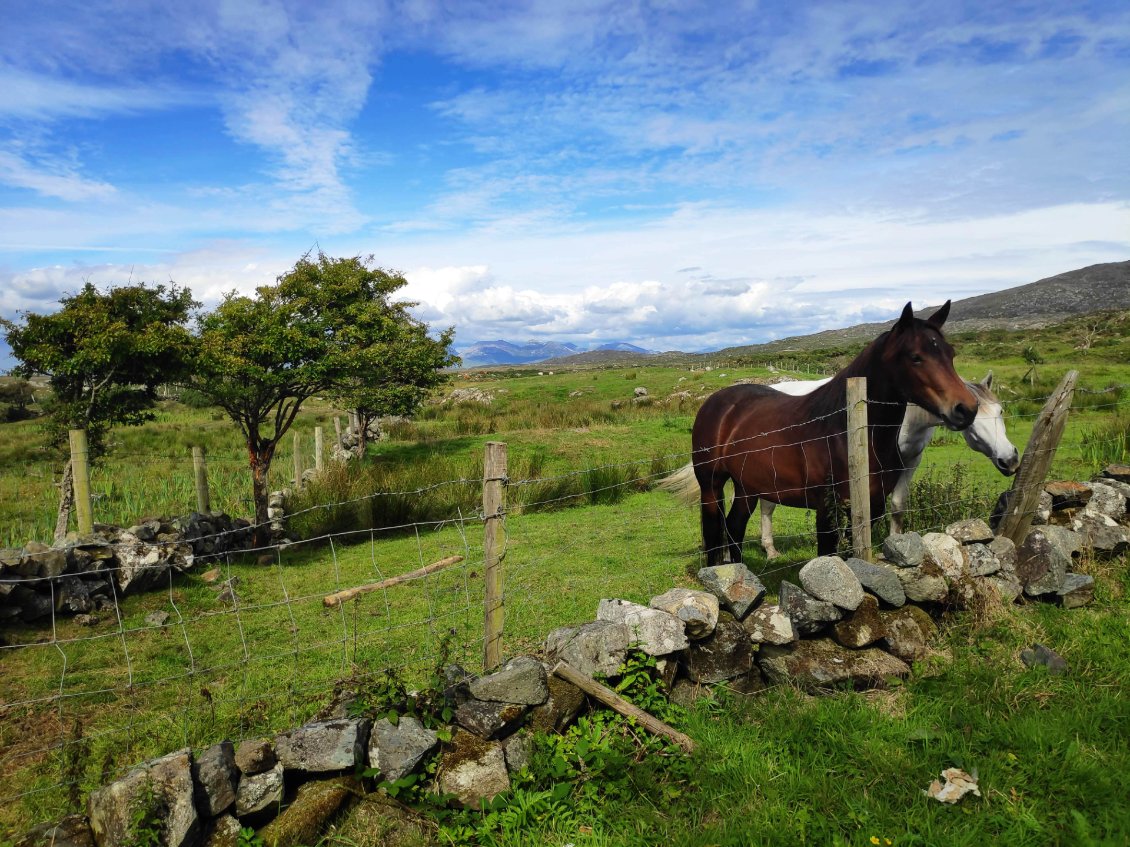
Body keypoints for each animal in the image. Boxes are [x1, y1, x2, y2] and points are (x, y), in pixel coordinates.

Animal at [682, 302, 976, 566]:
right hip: (712, 485)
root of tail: (715, 402)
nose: (966, 408)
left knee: (735, 526)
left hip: (747, 487)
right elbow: (827, 554)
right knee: (715, 531)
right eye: (915, 356)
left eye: (950, 354)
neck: (847, 433)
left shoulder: (870, 507)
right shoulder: (827, 509)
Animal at [754, 370, 1021, 557]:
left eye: (999, 411)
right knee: (767, 507)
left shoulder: (911, 460)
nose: (1010, 459)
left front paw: (895, 545)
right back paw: (770, 550)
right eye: (972, 418)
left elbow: (897, 506)